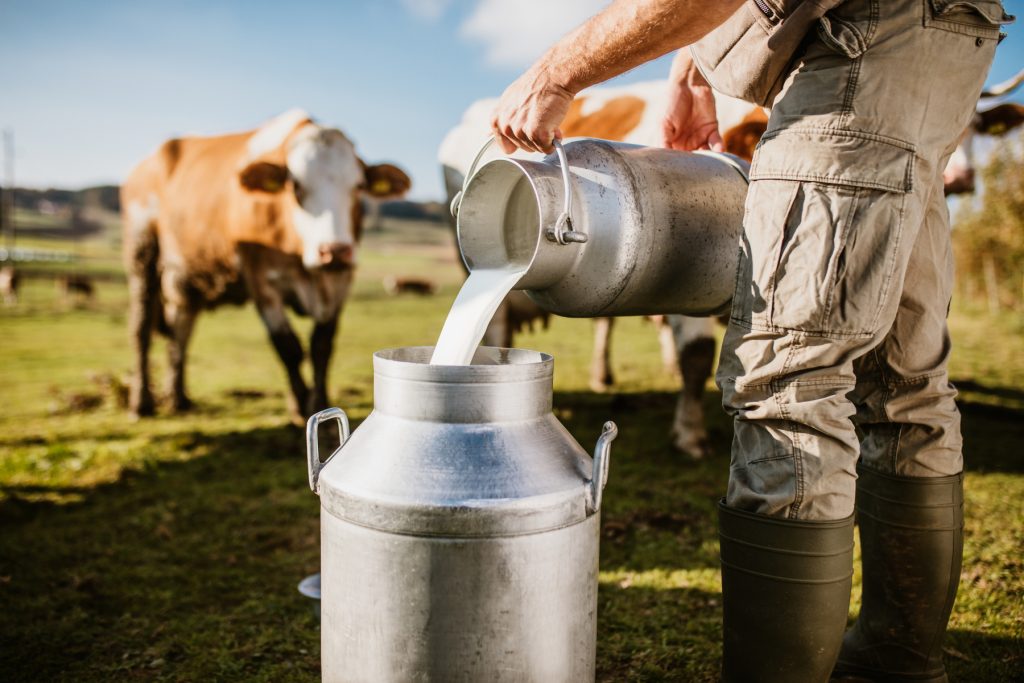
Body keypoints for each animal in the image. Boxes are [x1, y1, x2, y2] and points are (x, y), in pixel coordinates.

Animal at [125, 108, 413, 421]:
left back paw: (178, 397)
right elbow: (288, 346)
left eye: (358, 186)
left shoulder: (340, 281)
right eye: (295, 186)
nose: (334, 251)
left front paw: (319, 401)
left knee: (181, 331)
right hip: (142, 254)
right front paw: (300, 406)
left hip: (185, 279)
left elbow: (321, 345)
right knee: (141, 329)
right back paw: (142, 402)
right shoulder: (262, 281)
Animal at [438, 72, 1024, 458]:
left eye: (975, 128)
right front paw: (690, 436)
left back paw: (604, 375)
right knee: (496, 320)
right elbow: (697, 356)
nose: (959, 181)